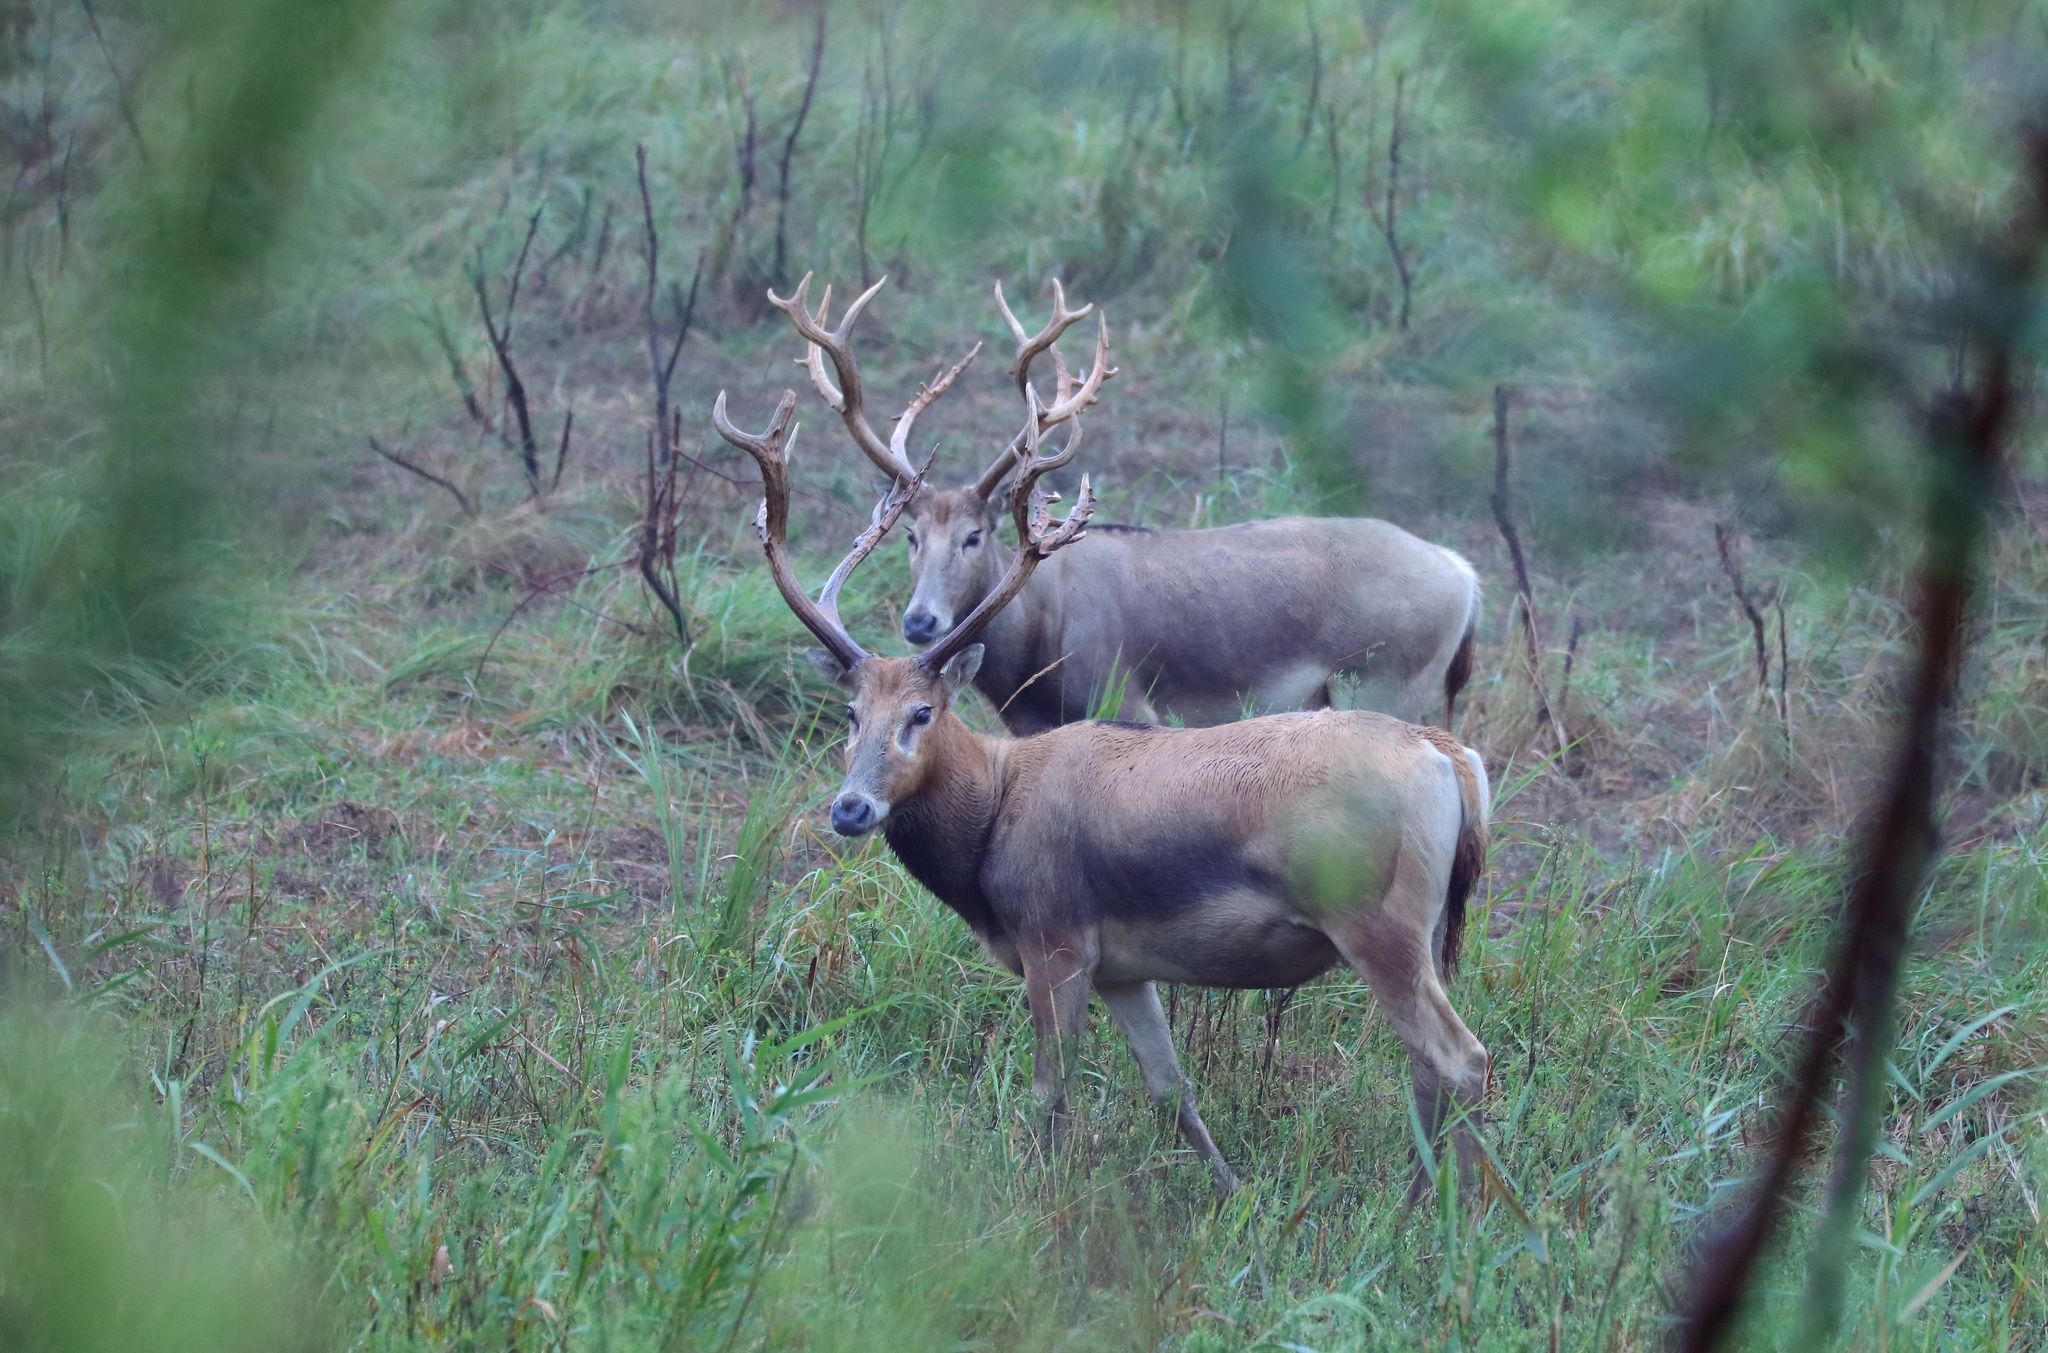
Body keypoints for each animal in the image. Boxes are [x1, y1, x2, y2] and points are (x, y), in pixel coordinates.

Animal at [716, 368, 1490, 1195]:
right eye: (851, 712)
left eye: (923, 712)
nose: (851, 808)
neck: (990, 827)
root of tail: (1449, 757)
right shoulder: (1123, 965)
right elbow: (1170, 1086)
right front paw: (1230, 1191)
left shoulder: (1054, 937)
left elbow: (1050, 1091)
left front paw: (1042, 1194)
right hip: (1430, 922)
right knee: (1430, 1061)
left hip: (1375, 917)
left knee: (1459, 1056)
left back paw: (1433, 1203)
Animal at [761, 274, 1482, 732]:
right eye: (911, 537)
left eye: (974, 535)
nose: (919, 621)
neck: (1038, 646)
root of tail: (1466, 576)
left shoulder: (1129, 699)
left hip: (1389, 678)